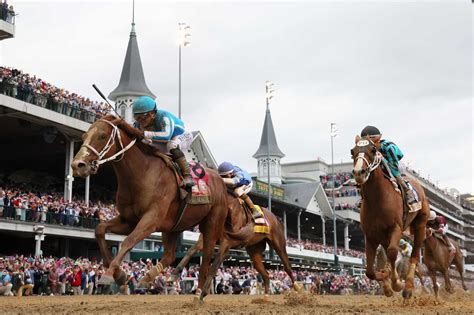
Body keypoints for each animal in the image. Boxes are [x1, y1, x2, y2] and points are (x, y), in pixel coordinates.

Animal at [71, 116, 231, 296]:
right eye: (84, 136)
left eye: (102, 136)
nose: (77, 165)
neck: (142, 174)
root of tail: (221, 181)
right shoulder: (128, 220)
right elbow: (100, 230)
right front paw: (120, 275)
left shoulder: (151, 220)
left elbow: (129, 241)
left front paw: (110, 274)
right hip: (173, 227)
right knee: (169, 255)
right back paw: (149, 278)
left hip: (211, 223)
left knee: (207, 255)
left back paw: (199, 292)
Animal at [172, 195, 302, 302]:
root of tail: (276, 218)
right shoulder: (206, 238)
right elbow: (190, 251)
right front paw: (174, 273)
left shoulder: (226, 243)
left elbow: (214, 266)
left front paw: (202, 293)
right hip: (254, 250)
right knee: (265, 274)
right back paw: (265, 298)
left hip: (278, 243)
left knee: (287, 267)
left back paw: (298, 289)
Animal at [350, 136, 432, 298]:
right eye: (352, 151)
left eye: (372, 150)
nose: (358, 172)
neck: (377, 199)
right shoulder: (371, 235)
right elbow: (370, 271)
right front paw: (385, 281)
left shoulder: (396, 228)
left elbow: (393, 253)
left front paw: (396, 283)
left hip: (420, 225)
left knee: (414, 255)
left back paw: (408, 287)